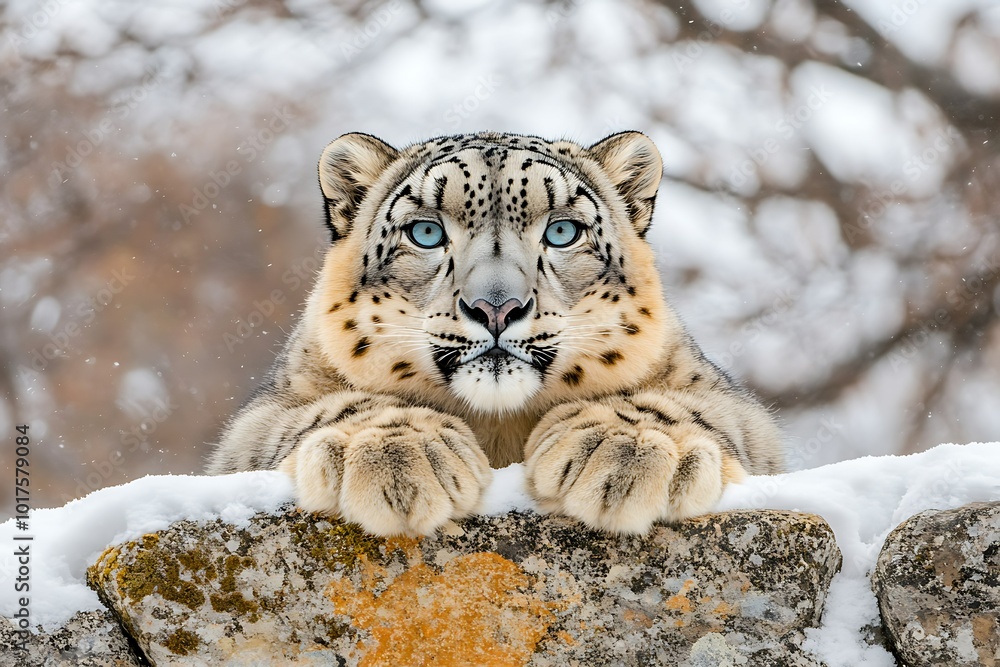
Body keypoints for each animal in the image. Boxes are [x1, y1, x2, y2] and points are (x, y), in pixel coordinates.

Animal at [207, 130, 784, 536]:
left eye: (562, 231)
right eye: (426, 232)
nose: (497, 307)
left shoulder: (728, 404)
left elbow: (691, 409)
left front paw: (626, 448)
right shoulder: (264, 415)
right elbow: (324, 411)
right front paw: (399, 455)